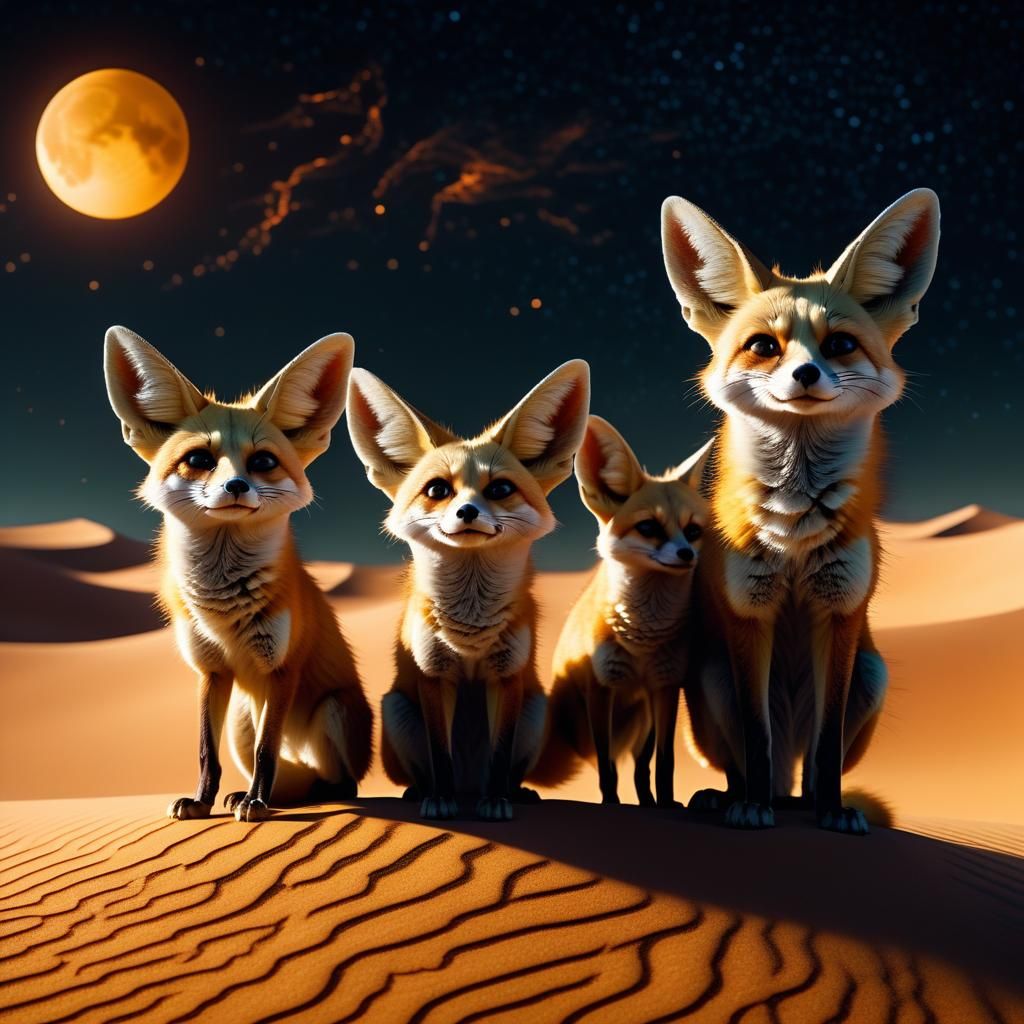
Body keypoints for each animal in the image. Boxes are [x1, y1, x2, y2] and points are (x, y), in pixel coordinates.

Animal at [103, 326, 373, 822]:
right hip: (243, 721)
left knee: (339, 781)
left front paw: (257, 804)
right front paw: (202, 802)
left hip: (331, 714)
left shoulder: (282, 669)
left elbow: (268, 753)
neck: (224, 604)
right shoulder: (211, 670)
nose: (236, 486)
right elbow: (206, 753)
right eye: (198, 460)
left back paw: (307, 795)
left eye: (263, 462)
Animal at [346, 359, 590, 821]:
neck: (471, 628)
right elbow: (439, 753)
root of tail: (467, 784)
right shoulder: (432, 673)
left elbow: (500, 753)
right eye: (438, 489)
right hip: (396, 710)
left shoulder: (507, 674)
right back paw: (426, 793)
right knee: (427, 770)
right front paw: (440, 802)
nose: (467, 512)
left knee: (508, 770)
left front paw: (495, 803)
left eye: (501, 489)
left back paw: (512, 793)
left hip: (536, 710)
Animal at [531, 415, 711, 807]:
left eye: (693, 531)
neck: (643, 637)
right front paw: (611, 805)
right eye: (648, 527)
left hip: (642, 720)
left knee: (640, 765)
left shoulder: (663, 687)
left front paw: (663, 805)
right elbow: (607, 769)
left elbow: (663, 764)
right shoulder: (603, 688)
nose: (687, 555)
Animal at [660, 188, 940, 833]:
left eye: (840, 344)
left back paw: (801, 803)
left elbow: (828, 746)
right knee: (752, 761)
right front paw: (752, 810)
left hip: (872, 675)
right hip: (710, 681)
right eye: (765, 346)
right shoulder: (749, 613)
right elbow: (757, 738)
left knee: (805, 769)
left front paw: (832, 813)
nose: (806, 373)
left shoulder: (839, 613)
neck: (794, 531)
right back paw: (736, 799)